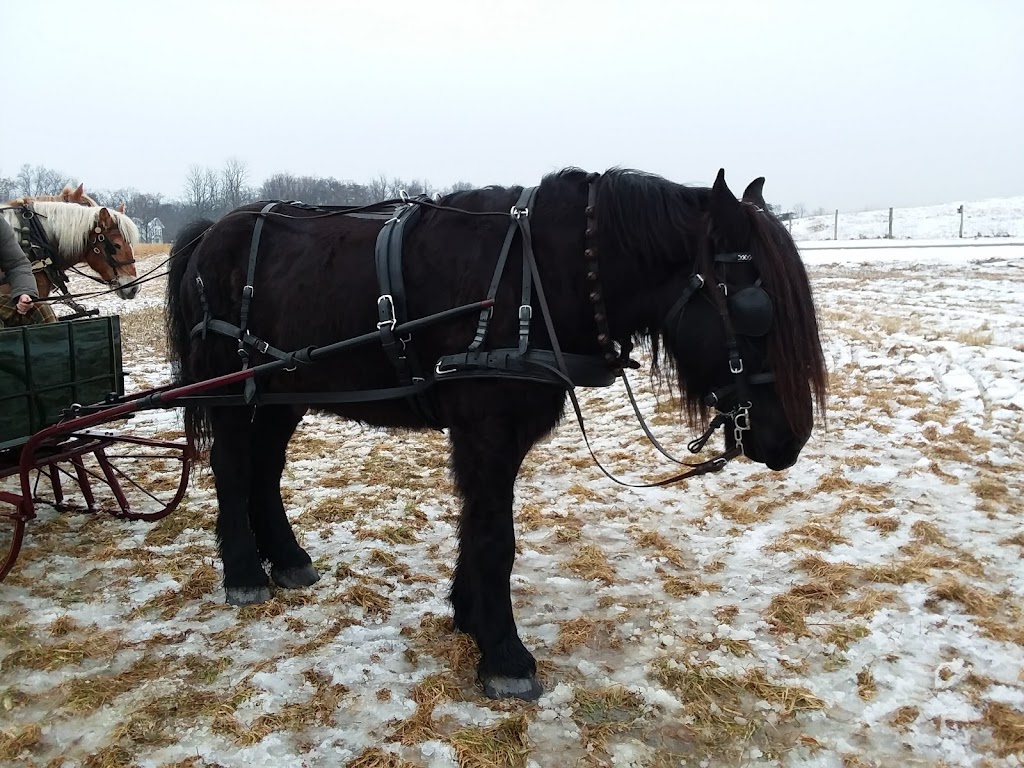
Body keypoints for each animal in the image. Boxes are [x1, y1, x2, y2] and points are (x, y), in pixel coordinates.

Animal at [163, 167, 827, 704]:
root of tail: (214, 229)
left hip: (282, 390)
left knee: (265, 468)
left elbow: (479, 527)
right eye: (755, 308)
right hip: (231, 388)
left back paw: (287, 559)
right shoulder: (485, 433)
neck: (541, 276)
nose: (789, 439)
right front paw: (504, 656)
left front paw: (469, 613)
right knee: (234, 467)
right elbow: (495, 537)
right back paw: (245, 573)